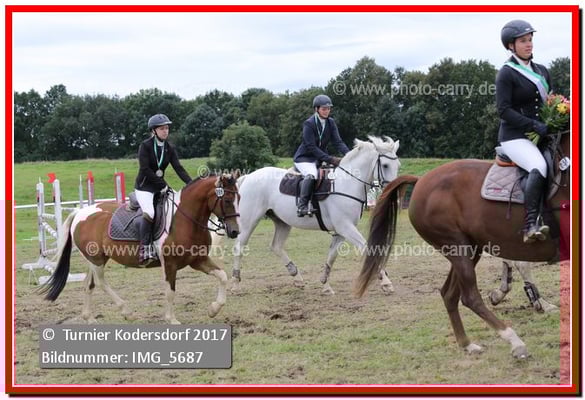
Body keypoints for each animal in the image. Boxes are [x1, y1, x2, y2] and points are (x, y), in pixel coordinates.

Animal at [39, 174, 240, 324]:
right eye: (227, 200)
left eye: (239, 198)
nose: (235, 231)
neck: (185, 218)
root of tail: (80, 212)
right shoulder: (170, 264)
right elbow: (170, 291)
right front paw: (172, 319)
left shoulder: (197, 260)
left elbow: (222, 276)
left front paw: (214, 309)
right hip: (96, 260)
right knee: (101, 282)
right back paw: (127, 311)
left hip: (96, 259)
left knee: (89, 284)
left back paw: (90, 318)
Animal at [231, 136, 401, 295]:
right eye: (385, 165)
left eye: (398, 165)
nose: (394, 192)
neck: (348, 183)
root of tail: (248, 177)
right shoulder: (346, 227)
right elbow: (369, 249)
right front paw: (386, 282)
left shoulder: (341, 231)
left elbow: (331, 256)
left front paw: (325, 285)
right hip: (249, 222)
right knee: (239, 247)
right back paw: (235, 284)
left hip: (282, 222)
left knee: (276, 246)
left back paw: (297, 277)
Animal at [355, 131, 569, 358]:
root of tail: (421, 180)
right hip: (456, 246)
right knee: (469, 297)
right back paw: (515, 341)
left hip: (469, 249)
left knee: (449, 294)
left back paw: (467, 343)